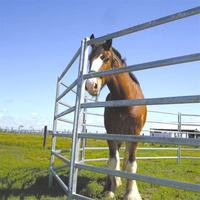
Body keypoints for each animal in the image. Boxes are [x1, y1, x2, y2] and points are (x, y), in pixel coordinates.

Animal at [85, 33, 147, 199]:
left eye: (105, 58)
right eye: (89, 59)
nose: (90, 85)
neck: (125, 99)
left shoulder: (134, 135)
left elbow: (131, 164)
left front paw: (131, 194)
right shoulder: (111, 134)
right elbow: (112, 162)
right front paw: (110, 190)